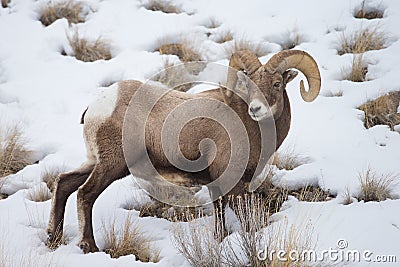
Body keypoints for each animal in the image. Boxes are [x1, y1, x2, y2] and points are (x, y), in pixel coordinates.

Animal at [47, 49, 322, 253]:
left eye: (276, 83)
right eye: (249, 85)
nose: (256, 108)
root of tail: (96, 108)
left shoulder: (217, 185)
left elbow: (220, 217)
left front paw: (218, 242)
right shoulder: (233, 185)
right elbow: (244, 220)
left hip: (95, 162)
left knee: (64, 183)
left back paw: (53, 237)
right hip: (112, 164)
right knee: (85, 194)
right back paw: (89, 246)